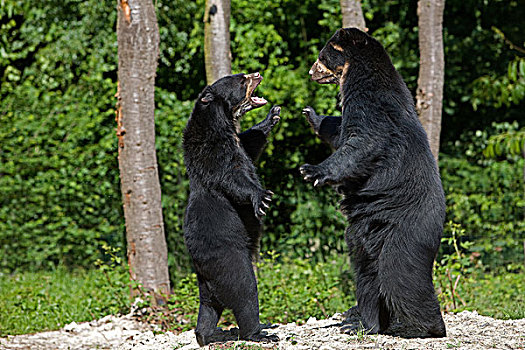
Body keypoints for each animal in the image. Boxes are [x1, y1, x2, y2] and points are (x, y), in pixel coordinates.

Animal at [183, 72, 280, 346]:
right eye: (241, 80)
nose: (257, 73)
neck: (222, 122)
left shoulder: (239, 142)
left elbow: (251, 143)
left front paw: (272, 117)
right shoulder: (212, 150)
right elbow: (232, 176)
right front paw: (262, 197)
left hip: (207, 286)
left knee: (207, 309)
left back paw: (204, 335)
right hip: (229, 260)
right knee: (245, 292)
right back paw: (259, 333)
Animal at [298, 28, 446, 338]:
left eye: (322, 55)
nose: (311, 72)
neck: (356, 75)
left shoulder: (373, 107)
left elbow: (363, 142)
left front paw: (311, 170)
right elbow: (339, 132)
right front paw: (312, 115)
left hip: (407, 230)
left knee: (400, 274)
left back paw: (427, 326)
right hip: (364, 236)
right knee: (367, 277)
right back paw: (369, 324)